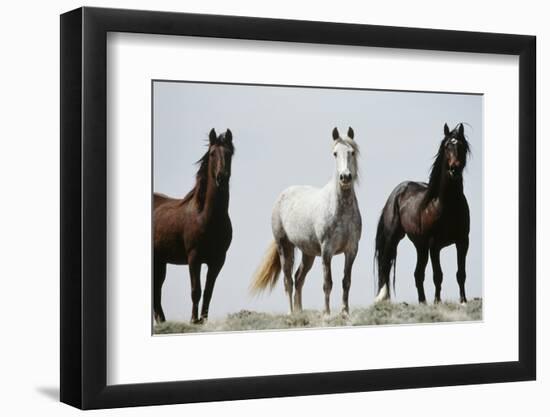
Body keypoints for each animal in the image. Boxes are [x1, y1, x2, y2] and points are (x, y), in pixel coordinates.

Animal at [153, 128, 235, 324]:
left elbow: (208, 292)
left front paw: (203, 320)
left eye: (229, 153)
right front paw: (193, 320)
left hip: (160, 261)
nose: (222, 177)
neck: (206, 217)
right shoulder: (194, 258)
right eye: (212, 153)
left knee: (157, 291)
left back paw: (162, 322)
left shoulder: (218, 261)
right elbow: (195, 291)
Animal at [378, 122, 472, 302]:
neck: (447, 205)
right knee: (385, 267)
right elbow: (438, 275)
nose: (454, 169)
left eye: (462, 146)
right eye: (447, 146)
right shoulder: (434, 245)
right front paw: (437, 301)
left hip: (420, 246)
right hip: (394, 238)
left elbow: (461, 274)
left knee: (418, 274)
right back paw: (384, 299)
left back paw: (422, 302)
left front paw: (463, 301)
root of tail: (396, 193)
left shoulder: (463, 241)